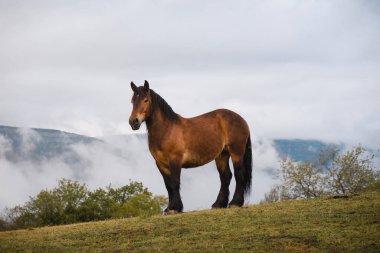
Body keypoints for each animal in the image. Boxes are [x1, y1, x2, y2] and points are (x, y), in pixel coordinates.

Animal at [129, 80, 251, 213]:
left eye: (146, 100)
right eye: (132, 101)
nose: (133, 122)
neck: (167, 129)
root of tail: (242, 119)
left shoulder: (175, 160)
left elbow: (175, 183)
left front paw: (175, 208)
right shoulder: (160, 163)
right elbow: (168, 185)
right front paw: (169, 208)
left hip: (236, 152)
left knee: (239, 174)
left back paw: (235, 203)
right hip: (222, 155)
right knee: (225, 177)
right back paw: (218, 204)